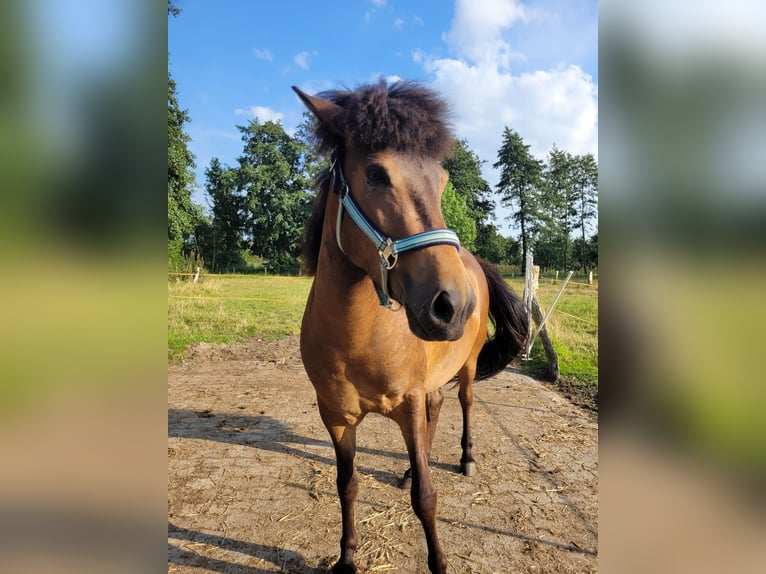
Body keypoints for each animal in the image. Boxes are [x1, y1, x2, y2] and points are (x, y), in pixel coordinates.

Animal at [292, 82, 528, 574]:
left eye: (441, 180)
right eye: (376, 174)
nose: (453, 305)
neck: (356, 339)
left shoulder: (409, 403)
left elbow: (426, 497)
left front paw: (438, 562)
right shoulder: (336, 417)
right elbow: (348, 485)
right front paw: (346, 558)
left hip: (468, 369)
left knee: (465, 403)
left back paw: (466, 458)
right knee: (437, 408)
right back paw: (404, 469)